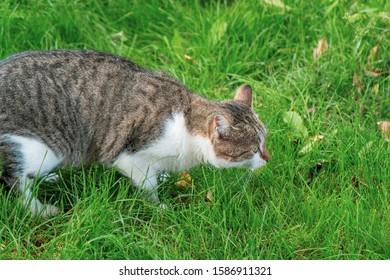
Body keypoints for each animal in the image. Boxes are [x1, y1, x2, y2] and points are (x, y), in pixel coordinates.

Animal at [0, 49, 268, 217]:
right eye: (253, 149)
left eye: (264, 143)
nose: (267, 158)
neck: (185, 121)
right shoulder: (128, 156)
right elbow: (148, 185)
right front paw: (160, 206)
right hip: (40, 149)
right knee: (15, 181)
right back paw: (40, 209)